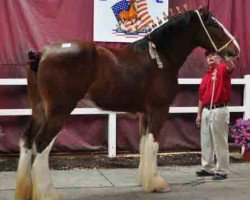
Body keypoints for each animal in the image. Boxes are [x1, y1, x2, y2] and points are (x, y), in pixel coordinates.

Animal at [15, 8, 240, 200]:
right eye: (214, 24)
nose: (235, 49)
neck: (160, 58)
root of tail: (41, 54)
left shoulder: (145, 114)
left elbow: (144, 143)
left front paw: (146, 180)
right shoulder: (159, 111)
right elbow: (154, 145)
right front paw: (156, 183)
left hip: (40, 110)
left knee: (27, 141)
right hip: (58, 113)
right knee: (41, 144)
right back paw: (47, 193)